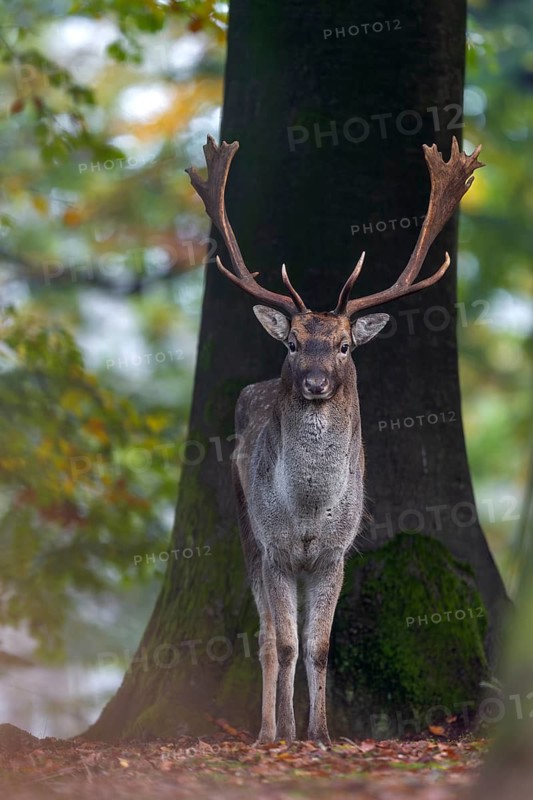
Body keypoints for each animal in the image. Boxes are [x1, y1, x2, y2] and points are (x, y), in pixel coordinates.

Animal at [186, 135, 483, 746]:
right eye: (293, 343)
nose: (315, 382)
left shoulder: (334, 554)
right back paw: (269, 729)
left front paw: (321, 735)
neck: (307, 512)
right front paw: (282, 736)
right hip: (248, 532)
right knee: (266, 639)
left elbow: (319, 647)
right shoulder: (276, 548)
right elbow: (282, 643)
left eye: (345, 345)